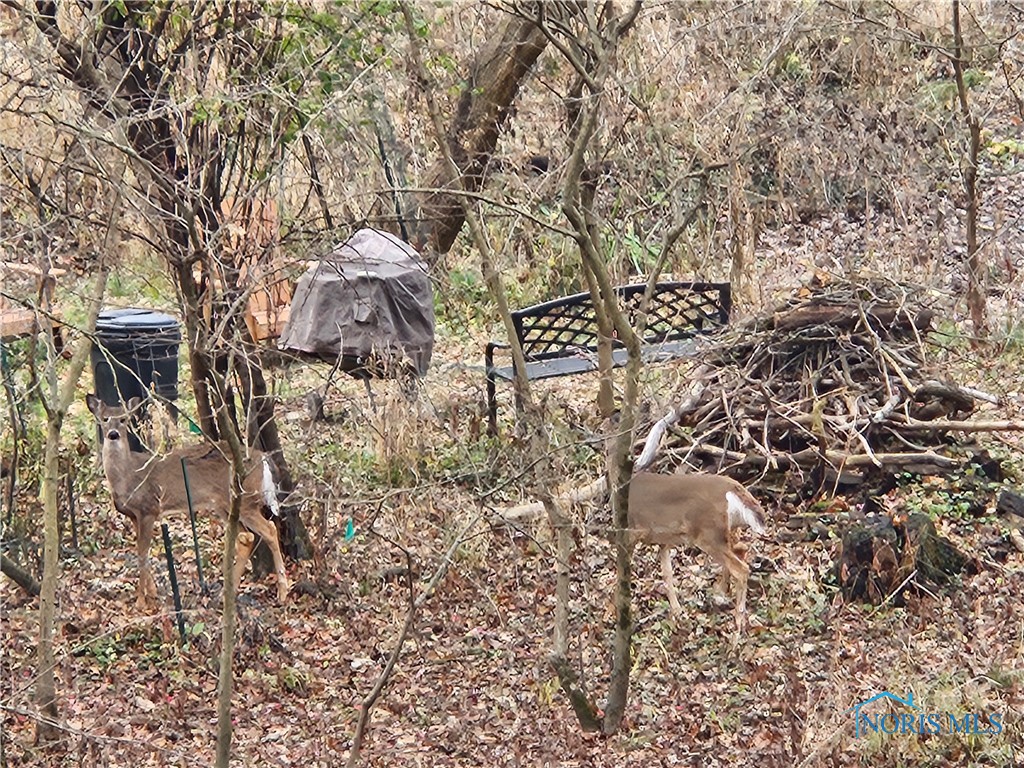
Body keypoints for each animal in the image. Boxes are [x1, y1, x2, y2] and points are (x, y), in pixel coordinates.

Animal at [86, 393, 290, 610]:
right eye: (105, 419)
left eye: (124, 419)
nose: (113, 434)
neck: (127, 476)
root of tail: (264, 458)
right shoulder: (134, 515)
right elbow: (143, 552)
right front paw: (152, 593)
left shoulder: (149, 509)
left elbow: (142, 554)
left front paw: (141, 602)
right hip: (225, 505)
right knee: (247, 538)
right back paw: (228, 592)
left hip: (245, 500)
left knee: (269, 529)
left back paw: (282, 592)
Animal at [626, 473, 765, 634]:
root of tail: (735, 488)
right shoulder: (663, 541)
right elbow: (667, 574)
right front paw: (677, 611)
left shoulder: (631, 532)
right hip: (728, 531)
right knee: (741, 550)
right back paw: (720, 593)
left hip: (708, 534)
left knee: (741, 569)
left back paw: (738, 622)